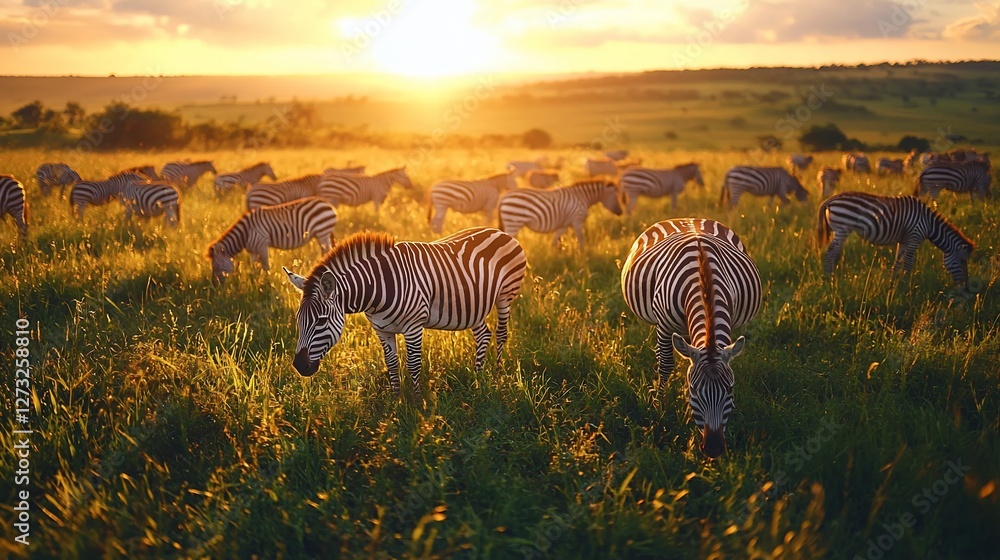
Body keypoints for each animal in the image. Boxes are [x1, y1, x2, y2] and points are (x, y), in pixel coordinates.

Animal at [207, 197, 337, 283]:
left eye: (216, 266)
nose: (214, 285)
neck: (245, 233)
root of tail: (327, 203)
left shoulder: (262, 243)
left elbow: (265, 265)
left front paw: (267, 282)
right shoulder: (253, 250)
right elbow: (254, 266)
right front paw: (254, 280)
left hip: (322, 232)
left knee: (327, 251)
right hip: (322, 234)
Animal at [282, 227, 526, 395]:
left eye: (321, 321)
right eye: (298, 321)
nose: (299, 366)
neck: (377, 289)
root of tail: (500, 231)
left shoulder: (414, 327)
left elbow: (414, 365)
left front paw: (417, 403)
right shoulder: (382, 329)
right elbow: (391, 364)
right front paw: (396, 400)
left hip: (505, 296)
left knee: (501, 334)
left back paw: (496, 374)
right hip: (473, 305)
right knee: (483, 334)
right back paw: (477, 377)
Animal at [621, 218, 761, 458]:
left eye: (730, 389)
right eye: (693, 390)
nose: (713, 449)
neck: (703, 276)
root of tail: (689, 219)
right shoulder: (664, 325)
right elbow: (666, 365)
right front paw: (660, 407)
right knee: (662, 355)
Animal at [818, 192, 975, 288]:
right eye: (961, 261)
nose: (965, 287)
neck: (929, 224)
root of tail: (831, 199)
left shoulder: (904, 240)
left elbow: (897, 263)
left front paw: (892, 285)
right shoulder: (914, 238)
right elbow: (908, 265)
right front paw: (905, 287)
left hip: (840, 230)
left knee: (833, 252)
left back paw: (830, 278)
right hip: (842, 229)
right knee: (831, 253)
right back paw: (828, 279)